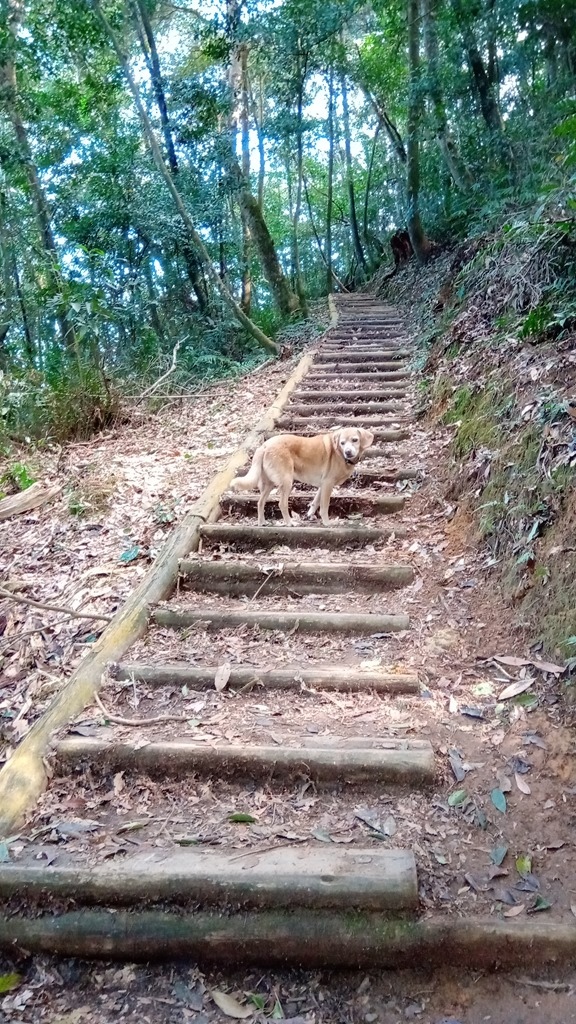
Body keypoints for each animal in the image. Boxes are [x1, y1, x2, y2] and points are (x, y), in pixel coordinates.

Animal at [230, 423, 375, 524]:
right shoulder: (328, 484)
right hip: (287, 481)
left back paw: (262, 522)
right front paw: (327, 523)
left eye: (355, 440)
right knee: (281, 504)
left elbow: (316, 501)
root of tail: (264, 446)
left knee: (260, 502)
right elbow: (324, 506)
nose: (348, 452)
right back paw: (290, 523)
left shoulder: (323, 485)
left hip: (269, 484)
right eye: (342, 443)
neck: (339, 453)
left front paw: (310, 514)